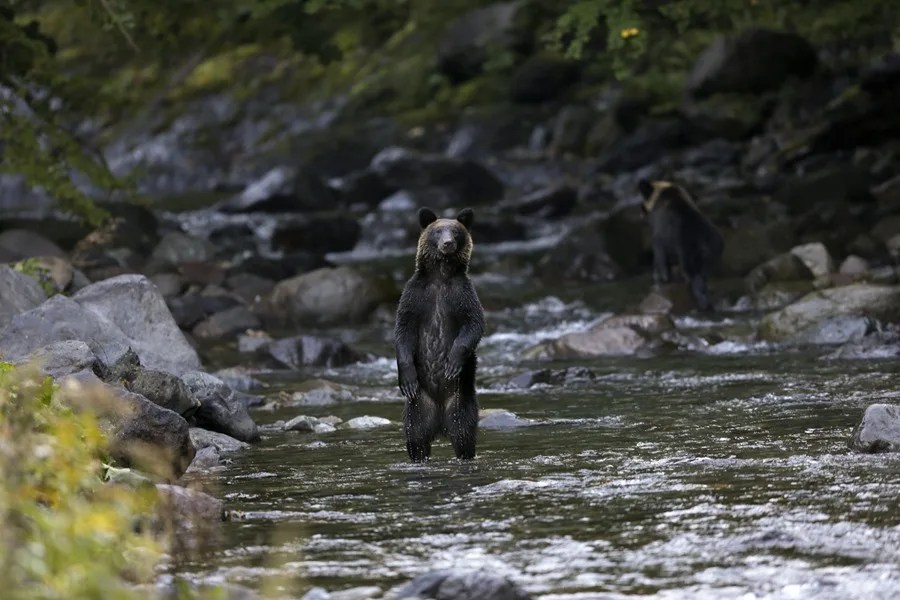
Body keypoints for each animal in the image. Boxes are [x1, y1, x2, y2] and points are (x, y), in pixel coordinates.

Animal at [394, 207, 485, 462]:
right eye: (437, 231)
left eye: (455, 231)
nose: (447, 243)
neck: (441, 276)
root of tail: (439, 423)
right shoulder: (414, 297)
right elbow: (403, 331)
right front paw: (406, 377)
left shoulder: (462, 295)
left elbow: (474, 324)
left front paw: (452, 363)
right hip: (418, 406)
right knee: (415, 439)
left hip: (460, 401)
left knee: (464, 435)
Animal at [638, 179, 723, 311]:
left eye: (642, 205)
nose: (640, 214)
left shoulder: (658, 237)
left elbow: (660, 261)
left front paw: (661, 281)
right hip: (712, 252)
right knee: (704, 275)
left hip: (688, 252)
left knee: (695, 279)